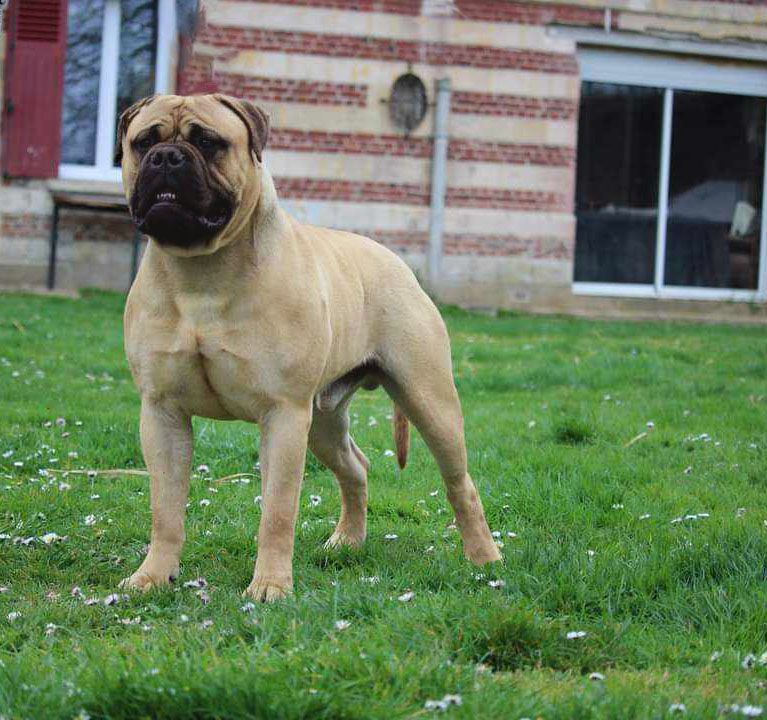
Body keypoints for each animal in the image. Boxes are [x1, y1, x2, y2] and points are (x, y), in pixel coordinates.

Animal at [115, 95, 504, 600]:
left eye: (208, 141)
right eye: (143, 142)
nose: (166, 158)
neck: (201, 271)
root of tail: (398, 262)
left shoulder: (283, 415)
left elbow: (278, 512)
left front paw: (270, 586)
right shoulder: (162, 413)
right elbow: (165, 508)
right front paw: (153, 576)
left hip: (428, 402)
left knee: (460, 483)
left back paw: (484, 558)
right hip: (322, 421)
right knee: (356, 467)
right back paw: (348, 541)